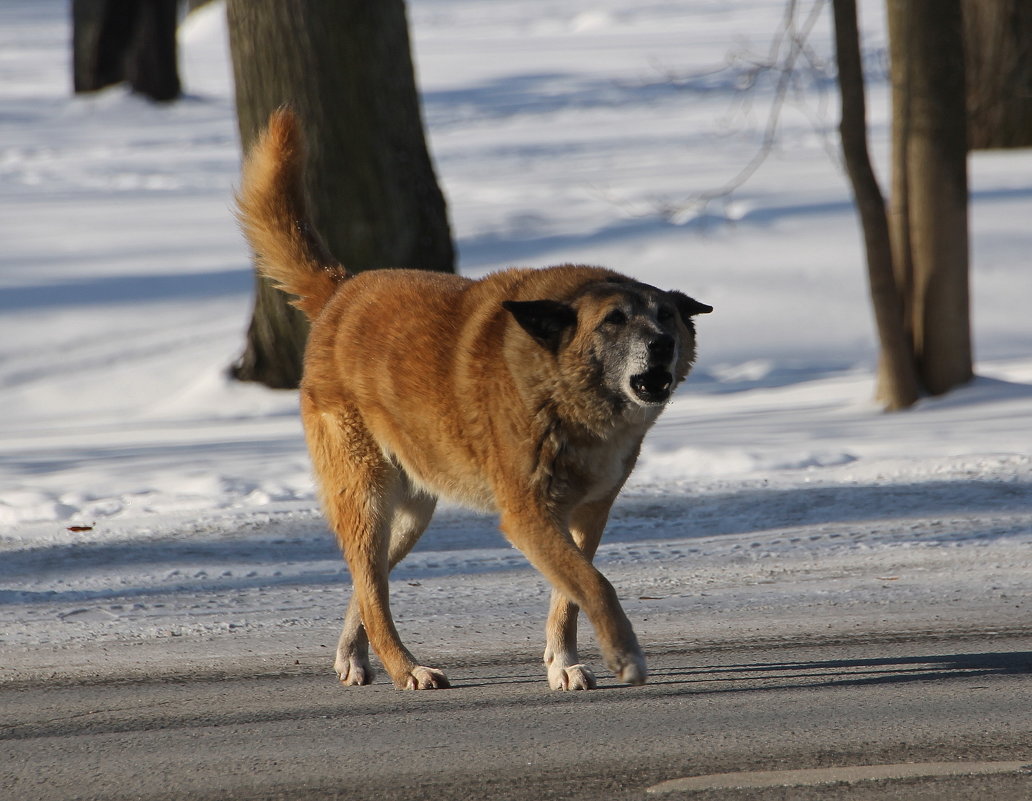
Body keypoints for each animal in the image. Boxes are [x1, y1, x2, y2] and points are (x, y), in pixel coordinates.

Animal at [237, 109, 714, 689]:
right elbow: (594, 583)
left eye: (666, 315)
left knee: (365, 583)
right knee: (373, 590)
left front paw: (564, 664)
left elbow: (569, 594)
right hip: (368, 496)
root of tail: (342, 290)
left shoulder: (586, 515)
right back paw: (406, 668)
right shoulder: (527, 514)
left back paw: (355, 656)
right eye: (614, 320)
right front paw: (625, 655)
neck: (563, 396)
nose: (663, 344)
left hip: (411, 511)